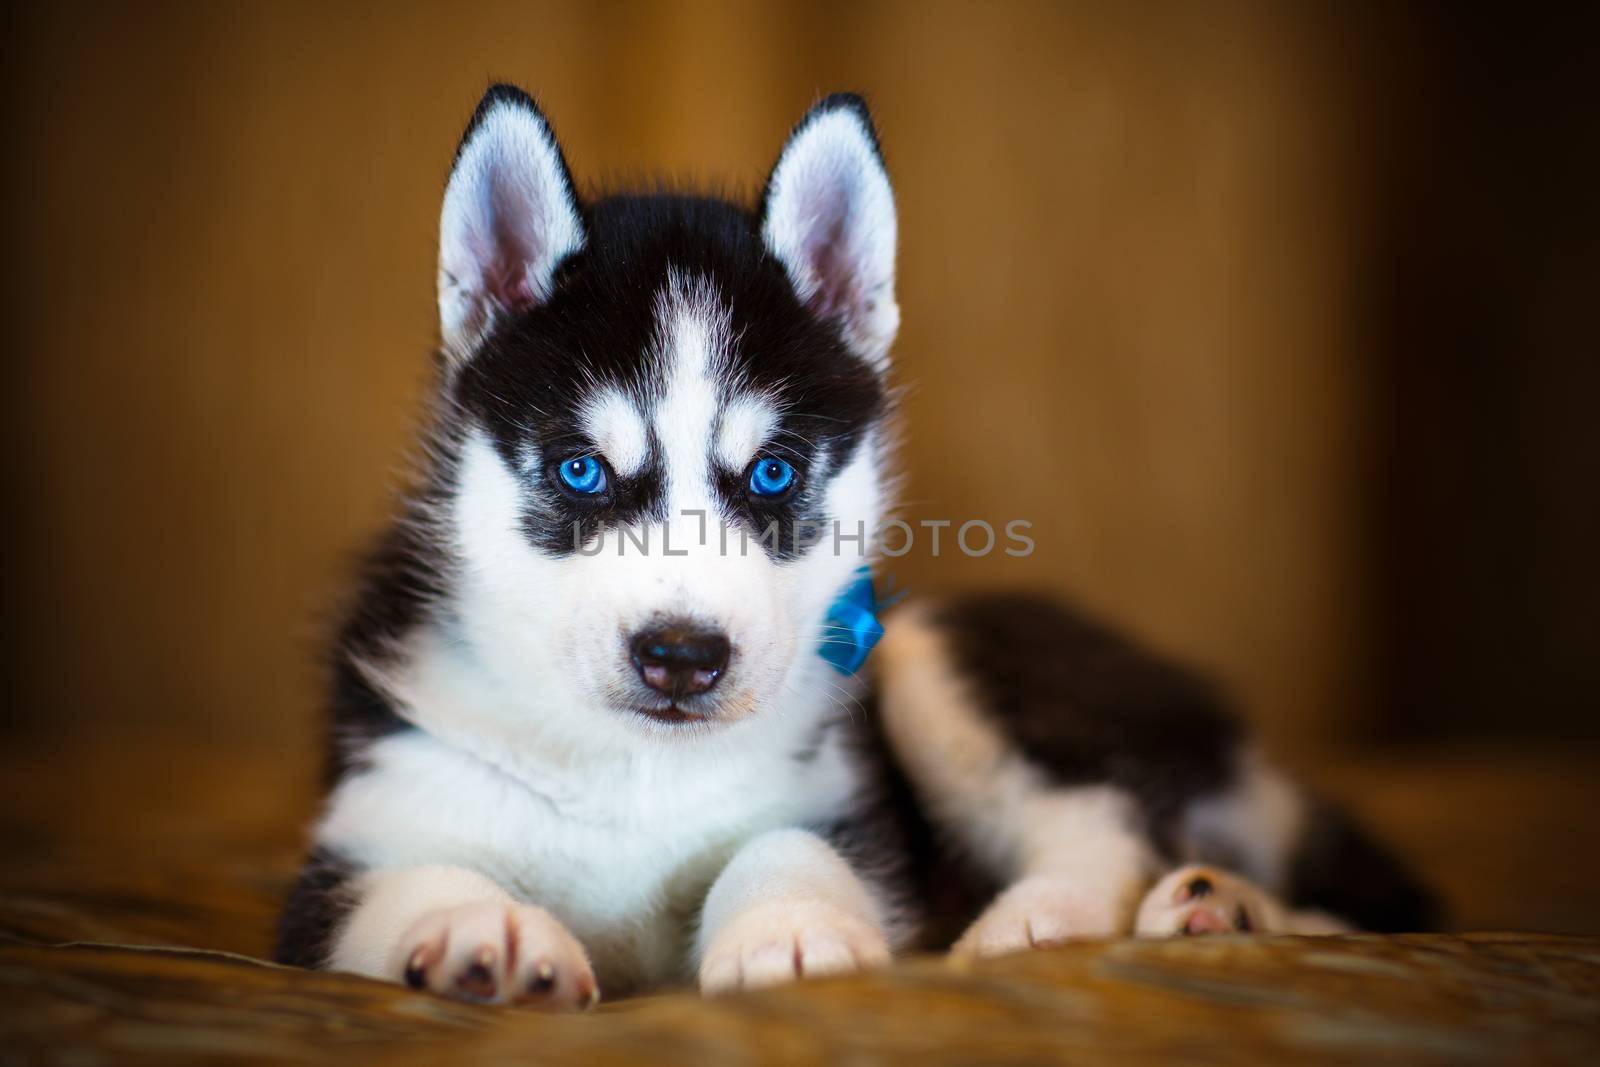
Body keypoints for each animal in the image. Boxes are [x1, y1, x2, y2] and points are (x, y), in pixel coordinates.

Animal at [278, 85, 1440, 1011]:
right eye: (578, 471)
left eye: (773, 473)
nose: (682, 657)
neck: (633, 771)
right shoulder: (366, 828)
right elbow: (403, 878)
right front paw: (485, 929)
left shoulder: (850, 808)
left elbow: (788, 840)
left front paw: (790, 928)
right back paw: (1228, 911)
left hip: (928, 650)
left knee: (1110, 821)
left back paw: (1053, 918)